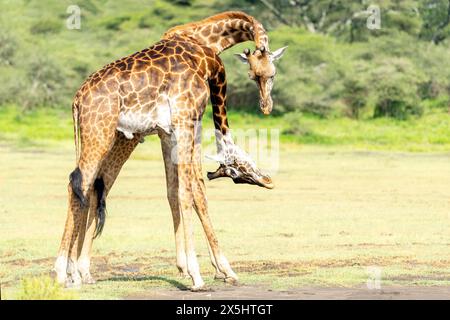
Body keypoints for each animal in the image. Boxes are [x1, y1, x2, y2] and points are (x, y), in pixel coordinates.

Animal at [55, 10, 288, 290]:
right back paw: (64, 272)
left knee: (88, 188)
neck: (204, 43)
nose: (266, 105)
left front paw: (191, 267)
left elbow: (174, 190)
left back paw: (77, 272)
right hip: (101, 135)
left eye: (270, 74)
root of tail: (77, 99)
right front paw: (205, 272)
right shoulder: (189, 120)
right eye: (257, 75)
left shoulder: (168, 132)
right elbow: (193, 191)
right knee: (78, 184)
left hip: (99, 138)